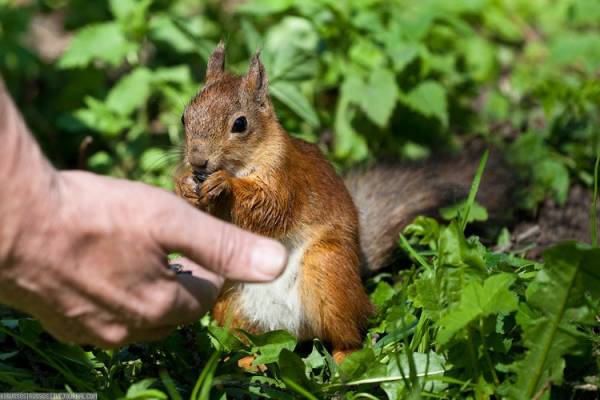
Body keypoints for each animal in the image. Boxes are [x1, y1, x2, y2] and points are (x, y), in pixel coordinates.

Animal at [173, 43, 510, 362]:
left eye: (240, 124)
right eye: (184, 116)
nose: (198, 161)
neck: (243, 165)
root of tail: (293, 330)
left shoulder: (288, 178)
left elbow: (270, 209)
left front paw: (224, 185)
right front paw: (183, 186)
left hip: (328, 274)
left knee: (347, 332)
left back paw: (346, 358)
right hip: (232, 299)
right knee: (252, 343)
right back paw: (241, 361)